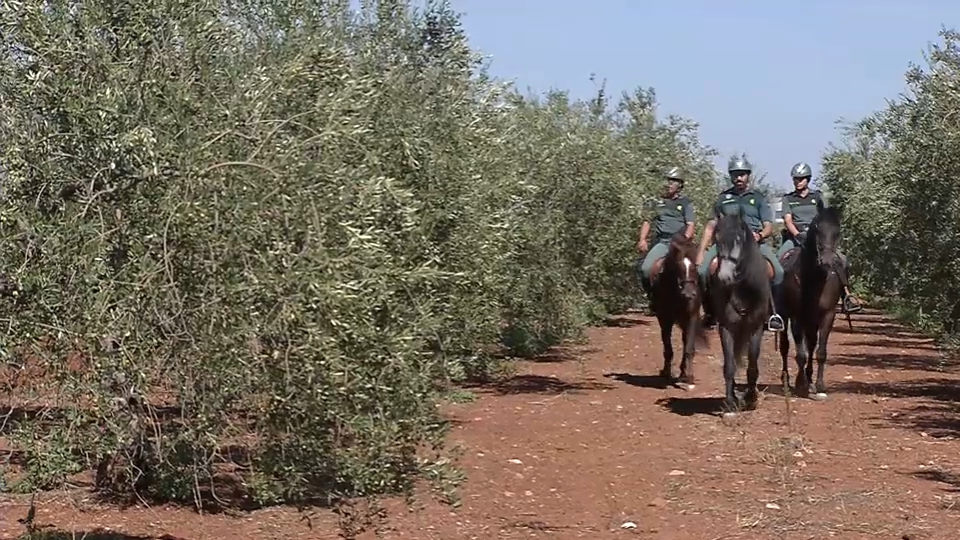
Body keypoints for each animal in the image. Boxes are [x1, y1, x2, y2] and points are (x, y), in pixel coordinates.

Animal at [648, 230, 708, 390]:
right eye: (678, 267)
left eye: (694, 267)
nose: (689, 294)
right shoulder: (665, 319)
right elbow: (668, 348)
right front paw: (667, 374)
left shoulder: (691, 317)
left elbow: (689, 348)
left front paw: (689, 377)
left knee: (685, 341)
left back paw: (683, 373)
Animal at [704, 213, 772, 416]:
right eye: (716, 237)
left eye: (739, 239)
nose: (725, 276)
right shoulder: (726, 327)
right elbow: (729, 366)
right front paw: (729, 402)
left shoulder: (756, 328)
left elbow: (752, 366)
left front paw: (751, 398)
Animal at [776, 207, 844, 400]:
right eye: (817, 228)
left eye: (837, 231)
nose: (827, 261)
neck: (814, 280)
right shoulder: (796, 317)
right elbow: (800, 354)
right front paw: (801, 385)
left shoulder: (828, 315)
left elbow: (820, 352)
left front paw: (819, 385)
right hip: (784, 316)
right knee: (785, 347)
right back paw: (787, 379)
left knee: (812, 345)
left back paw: (810, 379)